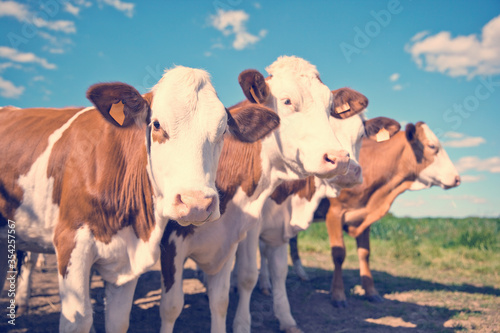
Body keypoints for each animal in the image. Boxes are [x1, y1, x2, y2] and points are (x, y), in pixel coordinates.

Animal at [0, 65, 280, 332]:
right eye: (156, 124)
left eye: (223, 131)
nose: (197, 204)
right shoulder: (71, 242)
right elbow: (76, 321)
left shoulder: (128, 260)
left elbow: (118, 322)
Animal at [158, 56, 354, 332]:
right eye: (287, 101)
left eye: (330, 107)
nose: (339, 158)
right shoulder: (171, 245)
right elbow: (172, 305)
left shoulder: (237, 238)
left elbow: (234, 289)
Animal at [290, 118, 460, 306]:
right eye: (432, 146)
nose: (457, 178)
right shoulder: (334, 213)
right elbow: (339, 253)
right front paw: (338, 295)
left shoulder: (364, 216)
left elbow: (365, 253)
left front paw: (371, 292)